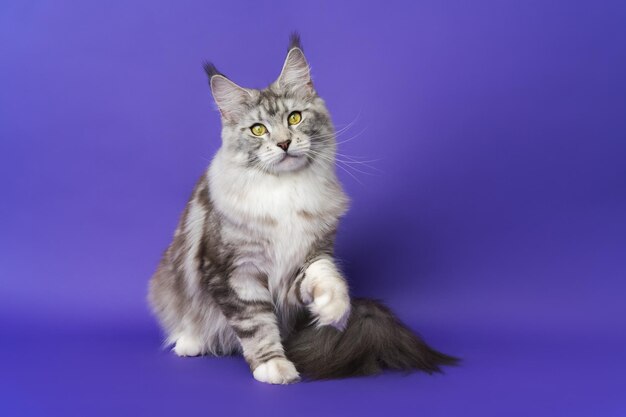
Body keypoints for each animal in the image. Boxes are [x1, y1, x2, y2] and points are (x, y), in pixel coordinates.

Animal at [149, 33, 456, 384]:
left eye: (294, 118)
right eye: (258, 129)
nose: (284, 143)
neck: (286, 191)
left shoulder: (303, 260)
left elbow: (324, 273)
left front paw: (334, 306)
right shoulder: (234, 272)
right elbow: (256, 323)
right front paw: (273, 366)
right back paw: (191, 341)